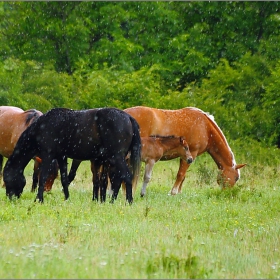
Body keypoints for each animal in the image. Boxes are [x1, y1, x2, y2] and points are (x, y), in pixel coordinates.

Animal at [3, 107, 141, 203]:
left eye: (7, 178)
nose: (10, 198)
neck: (43, 127)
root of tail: (128, 118)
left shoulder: (48, 155)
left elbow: (42, 177)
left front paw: (39, 199)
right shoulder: (61, 157)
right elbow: (64, 179)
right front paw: (67, 198)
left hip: (116, 157)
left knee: (126, 176)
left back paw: (128, 201)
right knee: (118, 178)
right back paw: (112, 201)